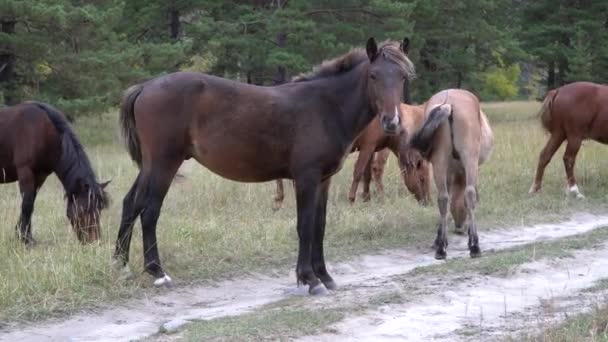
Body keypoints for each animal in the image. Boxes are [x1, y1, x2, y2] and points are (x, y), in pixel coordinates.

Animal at [0, 101, 110, 243]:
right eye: (84, 209)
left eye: (100, 208)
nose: (94, 241)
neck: (44, 132)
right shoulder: (26, 172)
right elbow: (27, 205)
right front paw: (25, 240)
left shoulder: (40, 176)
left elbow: (31, 205)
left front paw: (25, 235)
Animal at [115, 38, 414, 294]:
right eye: (374, 75)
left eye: (402, 77)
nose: (391, 122)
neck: (326, 106)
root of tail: (145, 87)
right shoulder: (305, 177)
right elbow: (305, 225)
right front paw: (309, 279)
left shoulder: (323, 179)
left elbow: (319, 225)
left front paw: (325, 276)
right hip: (164, 163)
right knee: (150, 211)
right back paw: (157, 272)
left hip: (150, 166)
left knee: (131, 204)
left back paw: (121, 265)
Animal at [406, 89, 492, 260]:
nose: (459, 228)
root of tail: (448, 104)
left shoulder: (447, 172)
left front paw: (439, 240)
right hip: (469, 157)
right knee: (469, 194)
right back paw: (475, 246)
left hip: (439, 161)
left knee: (443, 198)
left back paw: (441, 249)